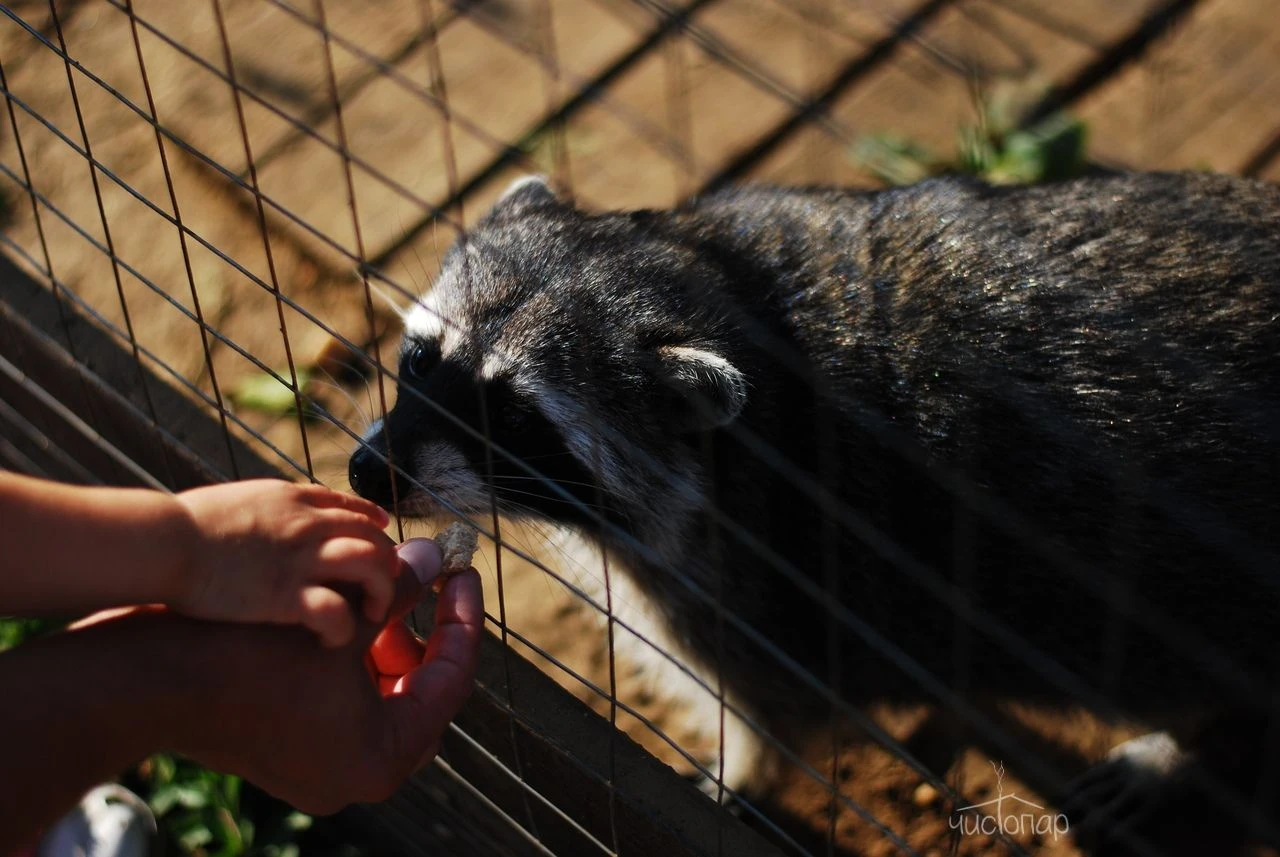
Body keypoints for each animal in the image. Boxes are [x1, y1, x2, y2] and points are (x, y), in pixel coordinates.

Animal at [348, 171, 1280, 854]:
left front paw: (743, 771)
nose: (369, 475)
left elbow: (776, 704)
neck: (736, 294)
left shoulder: (774, 570)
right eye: (421, 358)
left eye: (512, 418)